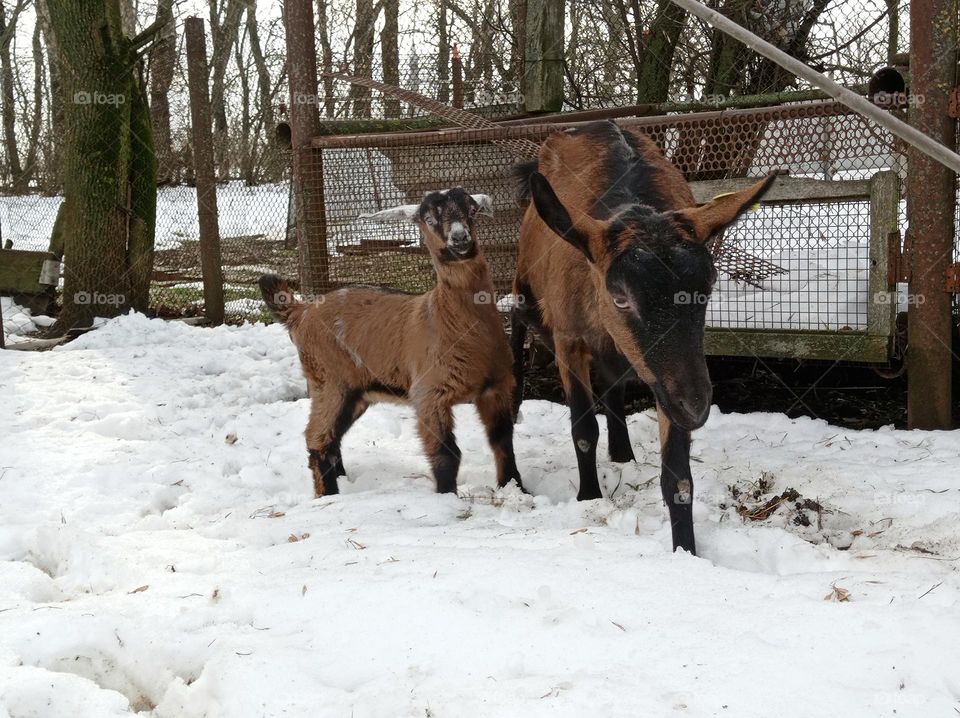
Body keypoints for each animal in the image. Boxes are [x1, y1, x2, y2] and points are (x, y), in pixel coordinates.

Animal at [260, 188, 523, 498]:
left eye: (471, 210)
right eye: (428, 219)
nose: (460, 238)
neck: (446, 316)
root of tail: (301, 312)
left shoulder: (497, 386)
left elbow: (503, 440)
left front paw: (516, 488)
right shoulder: (428, 394)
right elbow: (446, 454)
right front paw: (447, 496)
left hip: (355, 390)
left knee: (332, 436)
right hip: (330, 380)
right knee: (317, 438)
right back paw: (328, 496)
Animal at [511, 120, 775, 554]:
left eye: (708, 287)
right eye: (620, 295)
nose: (696, 405)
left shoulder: (664, 376)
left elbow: (679, 475)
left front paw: (686, 551)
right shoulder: (569, 338)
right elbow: (583, 431)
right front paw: (589, 498)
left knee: (613, 383)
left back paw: (622, 453)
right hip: (526, 287)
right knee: (516, 322)